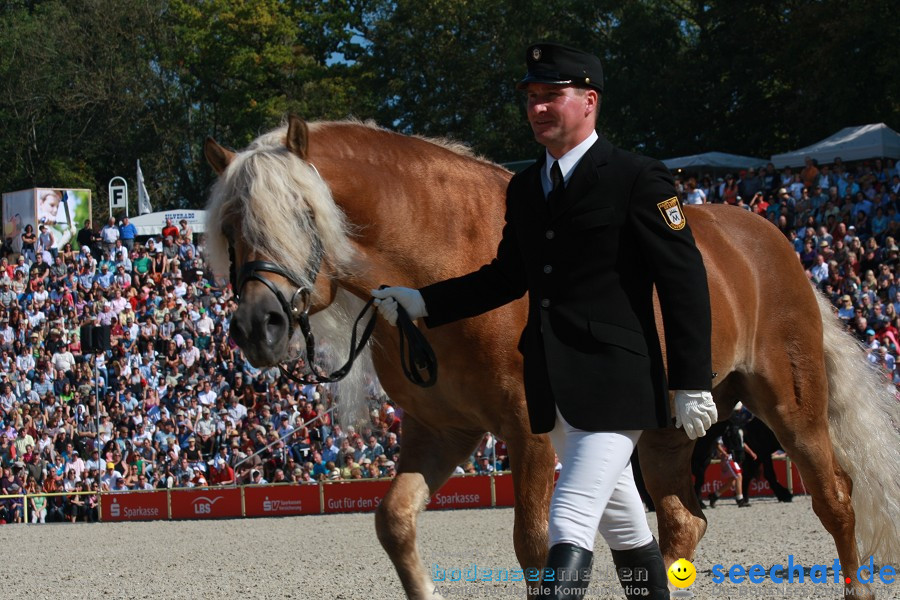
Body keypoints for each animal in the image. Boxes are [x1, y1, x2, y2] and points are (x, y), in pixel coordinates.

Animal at [204, 117, 900, 600]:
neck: (446, 254)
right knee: (682, 525)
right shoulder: (440, 429)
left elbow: (537, 546)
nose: (258, 327)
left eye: (303, 215)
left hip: (791, 405)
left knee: (835, 500)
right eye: (230, 228)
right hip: (670, 432)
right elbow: (394, 522)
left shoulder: (527, 429)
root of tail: (771, 241)